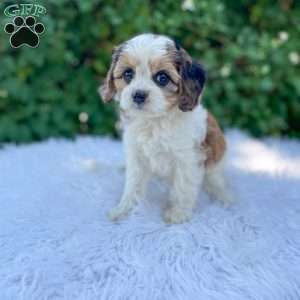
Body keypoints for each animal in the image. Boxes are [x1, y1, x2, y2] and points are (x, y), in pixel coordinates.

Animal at [99, 34, 233, 224]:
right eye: (128, 74)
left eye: (162, 78)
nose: (138, 95)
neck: (155, 120)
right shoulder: (136, 155)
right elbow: (132, 185)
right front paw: (124, 210)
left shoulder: (187, 158)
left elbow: (183, 187)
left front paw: (178, 213)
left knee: (215, 180)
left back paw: (223, 196)